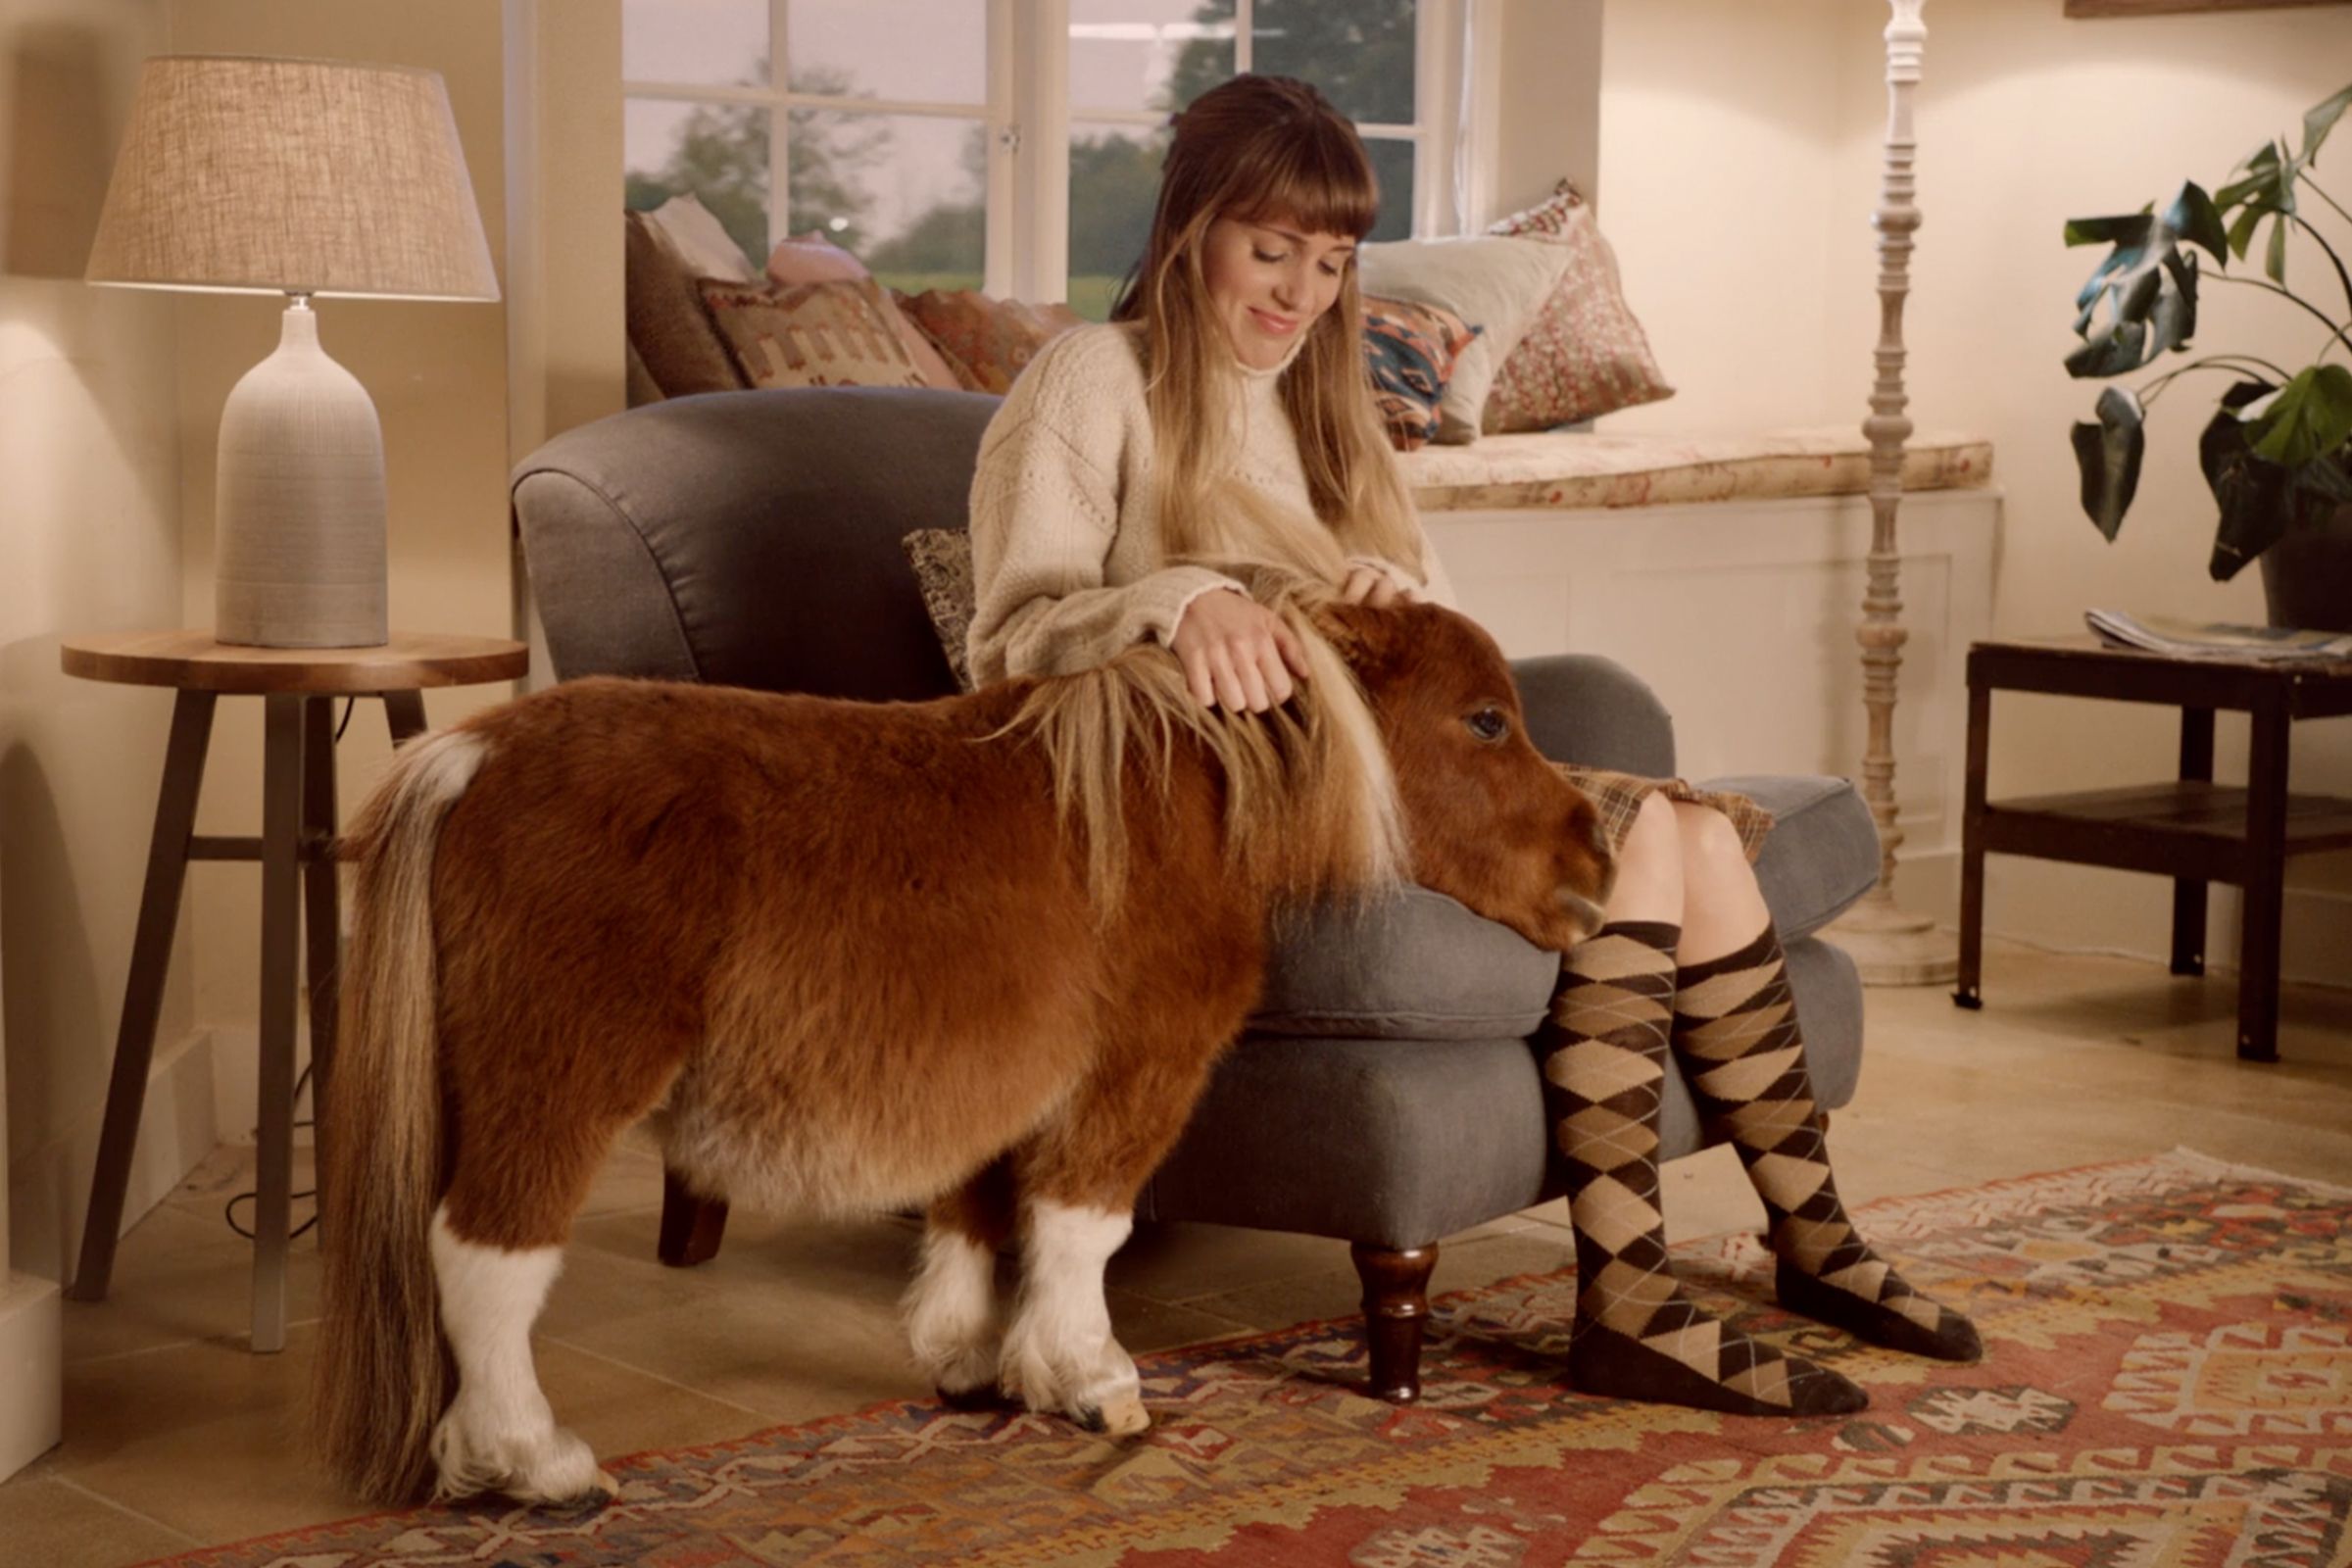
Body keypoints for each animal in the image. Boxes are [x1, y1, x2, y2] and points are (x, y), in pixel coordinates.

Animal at [309, 588, 1614, 1508]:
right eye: (1486, 720)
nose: (1599, 855)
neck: (1174, 797)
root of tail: (474, 755)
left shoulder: (1007, 1082)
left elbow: (982, 1217)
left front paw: (977, 1364)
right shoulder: (1135, 1072)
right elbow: (1084, 1228)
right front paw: (1091, 1381)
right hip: (559, 1082)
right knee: (484, 1258)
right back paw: (533, 1463)